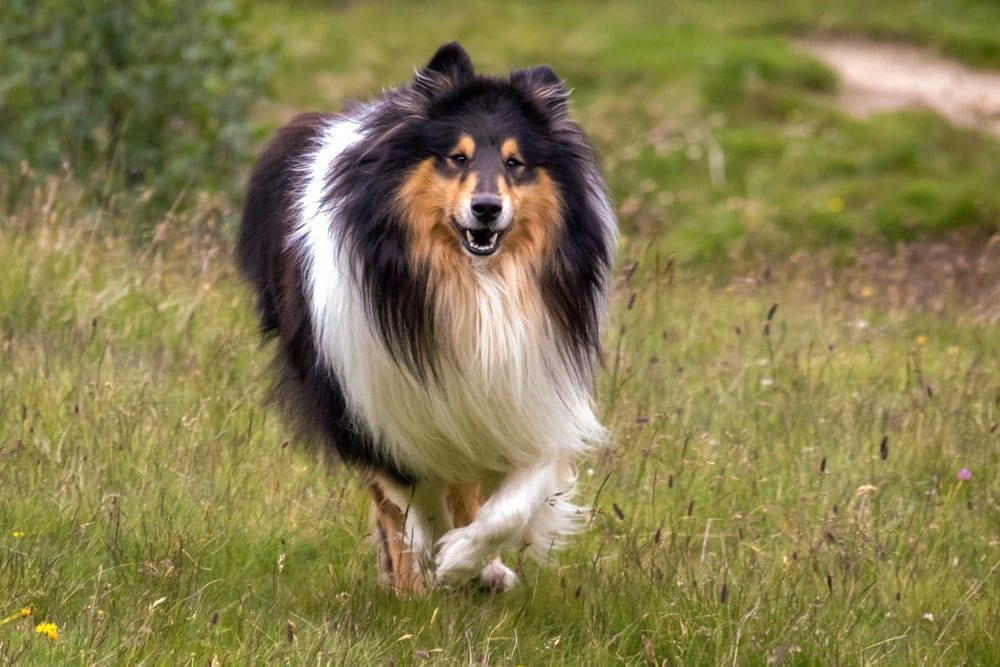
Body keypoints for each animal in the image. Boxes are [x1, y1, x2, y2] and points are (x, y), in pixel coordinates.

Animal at [239, 41, 620, 592]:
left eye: (515, 163)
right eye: (456, 158)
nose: (487, 208)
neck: (473, 287)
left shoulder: (529, 395)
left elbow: (515, 499)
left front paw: (465, 557)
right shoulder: (379, 412)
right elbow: (414, 501)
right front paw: (433, 562)